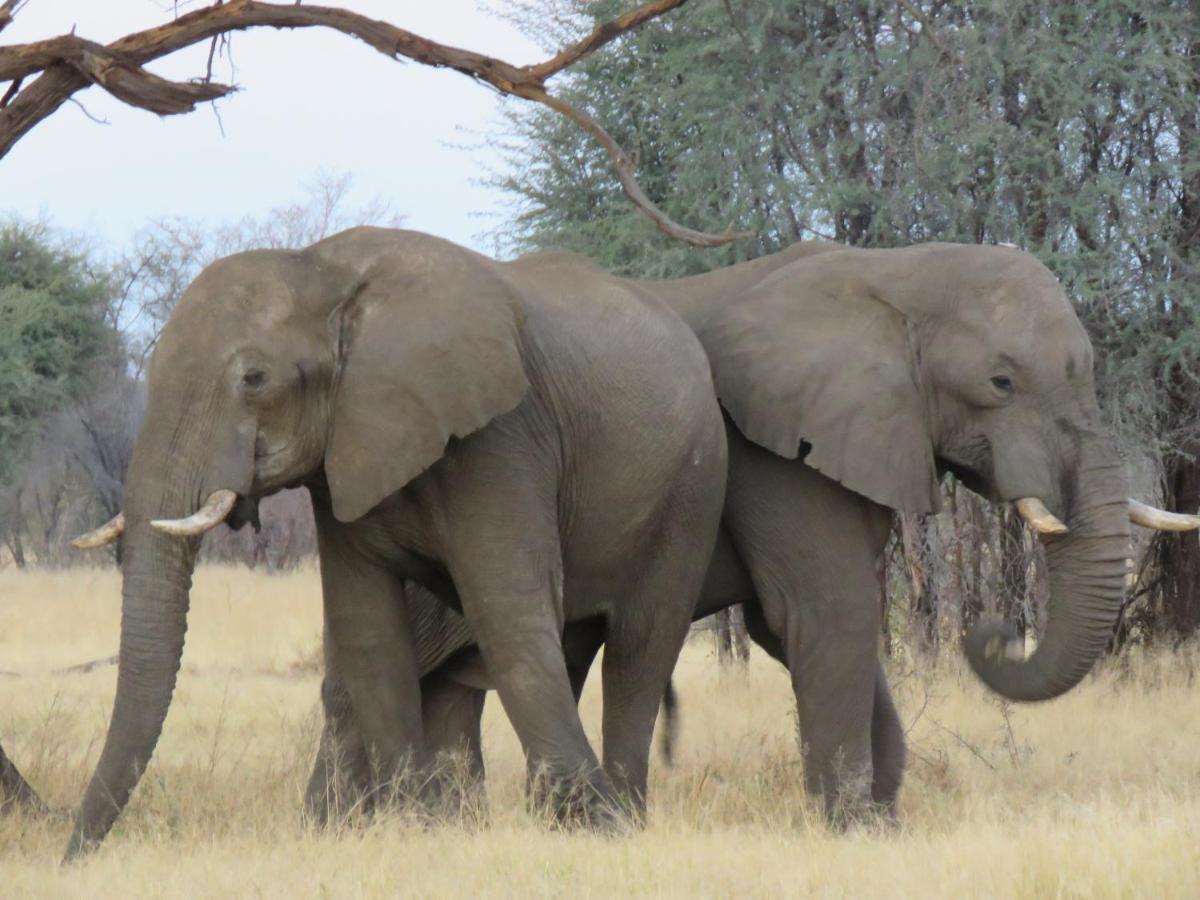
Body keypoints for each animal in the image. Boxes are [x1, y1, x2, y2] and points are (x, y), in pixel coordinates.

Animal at [65, 225, 724, 859]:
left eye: (253, 379)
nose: (73, 856)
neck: (323, 270)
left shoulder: (501, 439)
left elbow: (508, 611)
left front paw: (597, 828)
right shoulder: (345, 456)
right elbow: (369, 630)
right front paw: (419, 826)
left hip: (690, 488)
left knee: (639, 649)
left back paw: (623, 815)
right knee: (576, 646)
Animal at [302, 236, 1200, 830]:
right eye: (1001, 382)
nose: (994, 632)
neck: (895, 271)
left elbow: (795, 624)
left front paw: (880, 818)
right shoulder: (777, 454)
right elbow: (823, 611)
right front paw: (856, 827)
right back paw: (353, 827)